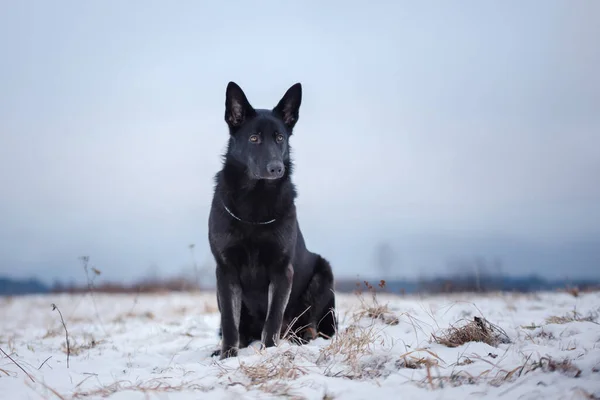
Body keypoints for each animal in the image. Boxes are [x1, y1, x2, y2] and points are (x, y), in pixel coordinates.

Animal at [209, 81, 336, 360]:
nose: (277, 168)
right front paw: (228, 356)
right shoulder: (225, 271)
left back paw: (302, 338)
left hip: (323, 275)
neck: (254, 203)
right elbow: (229, 322)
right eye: (254, 138)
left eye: (280, 138)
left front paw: (268, 353)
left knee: (308, 325)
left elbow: (273, 319)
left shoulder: (281, 271)